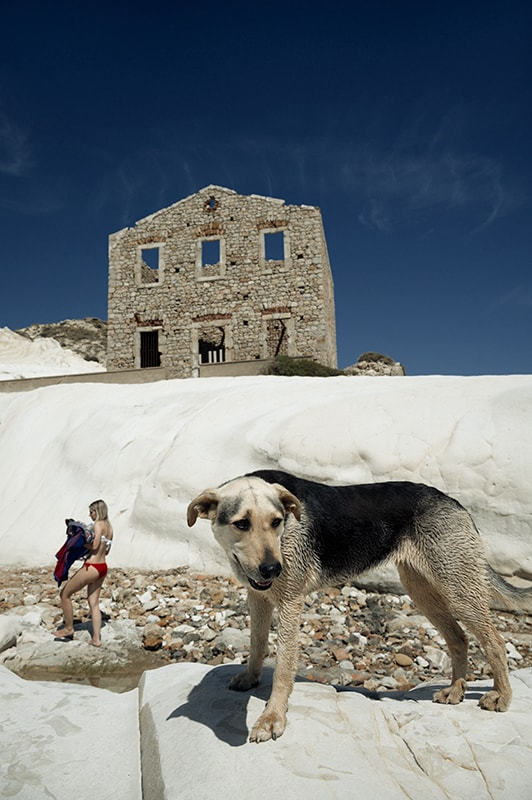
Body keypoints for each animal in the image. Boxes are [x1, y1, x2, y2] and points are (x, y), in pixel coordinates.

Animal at [188, 468, 532, 744]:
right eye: (241, 524)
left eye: (277, 522)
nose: (273, 569)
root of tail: (458, 506)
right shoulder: (258, 596)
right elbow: (257, 643)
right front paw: (250, 679)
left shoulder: (290, 602)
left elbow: (283, 669)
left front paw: (272, 719)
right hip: (421, 588)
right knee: (459, 638)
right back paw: (456, 691)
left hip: (457, 586)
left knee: (494, 640)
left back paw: (501, 696)